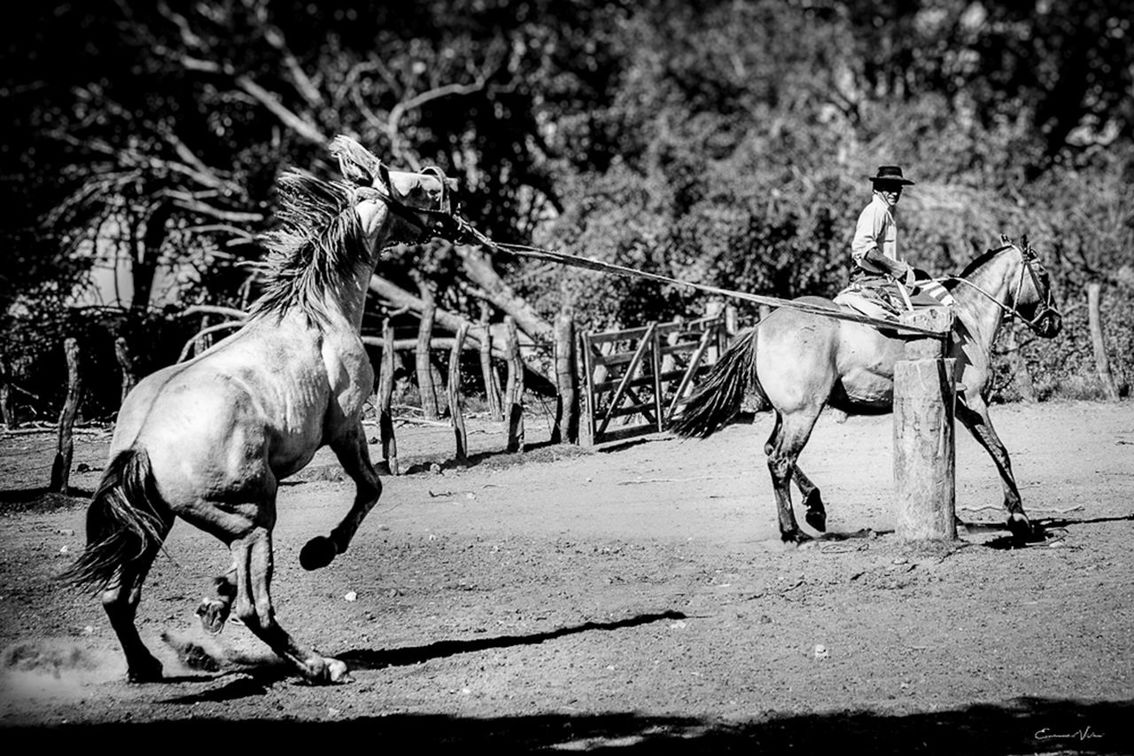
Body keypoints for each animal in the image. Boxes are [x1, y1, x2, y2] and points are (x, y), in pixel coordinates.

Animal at [64, 136, 455, 684]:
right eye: (417, 188)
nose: (450, 189)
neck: (320, 310)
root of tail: (143, 443)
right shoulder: (346, 424)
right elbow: (370, 489)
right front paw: (319, 551)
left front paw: (213, 599)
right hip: (252, 517)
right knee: (257, 609)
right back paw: (321, 666)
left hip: (159, 523)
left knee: (118, 596)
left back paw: (149, 664)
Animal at [671, 239, 1061, 541]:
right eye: (1042, 274)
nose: (1054, 322)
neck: (966, 318)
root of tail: (763, 326)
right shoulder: (973, 401)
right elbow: (1000, 451)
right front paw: (1019, 518)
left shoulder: (956, 405)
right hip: (803, 413)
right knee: (781, 459)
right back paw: (793, 531)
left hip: (788, 413)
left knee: (772, 452)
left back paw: (814, 509)